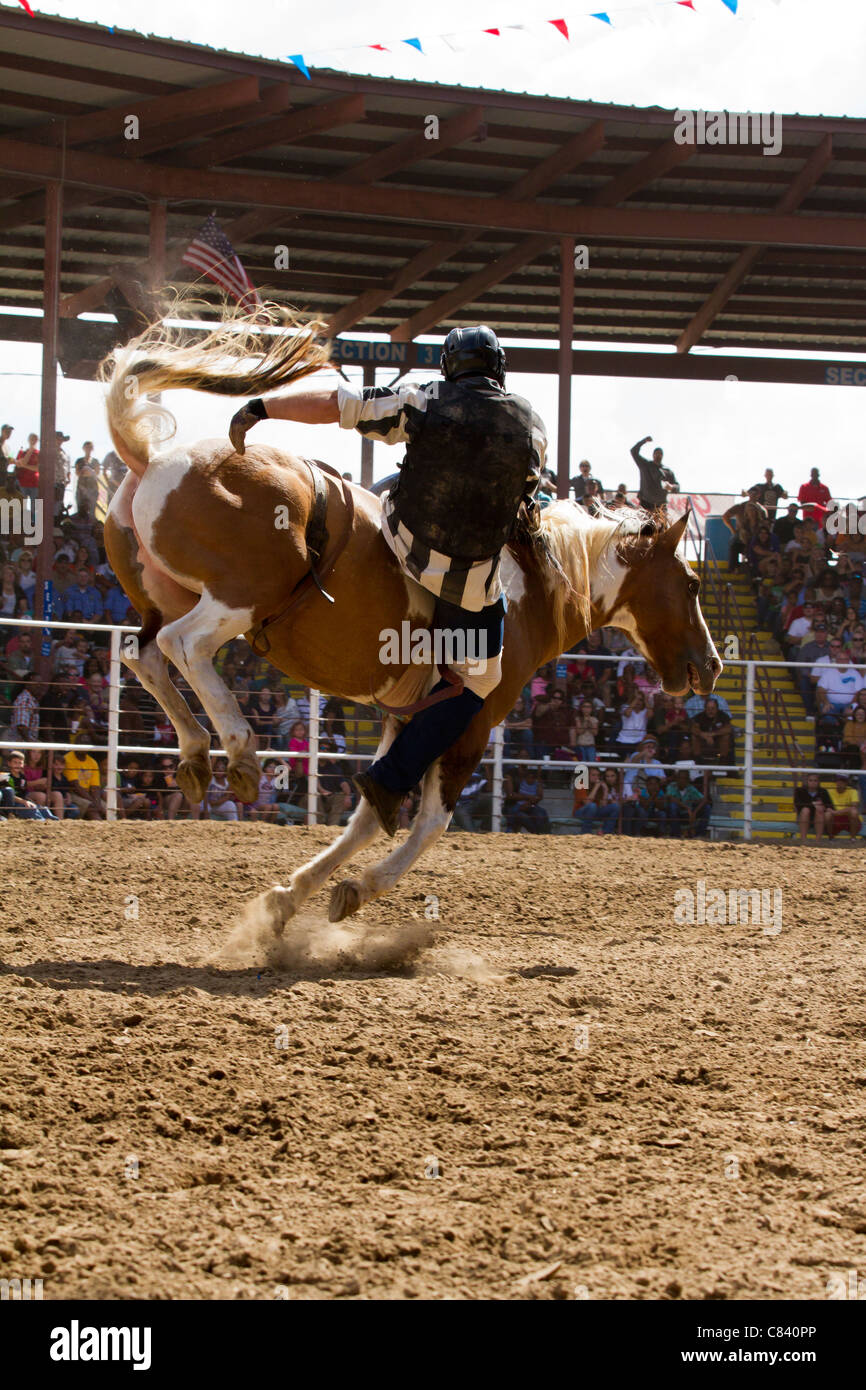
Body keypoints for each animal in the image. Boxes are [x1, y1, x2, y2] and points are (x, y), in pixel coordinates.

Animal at [101, 309, 722, 928]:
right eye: (692, 584)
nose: (711, 666)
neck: (534, 585)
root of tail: (151, 459)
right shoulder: (470, 719)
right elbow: (427, 823)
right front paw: (359, 887)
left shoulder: (405, 718)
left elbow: (370, 810)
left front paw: (293, 895)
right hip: (240, 598)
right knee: (185, 647)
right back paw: (241, 751)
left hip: (169, 602)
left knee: (144, 654)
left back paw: (195, 755)